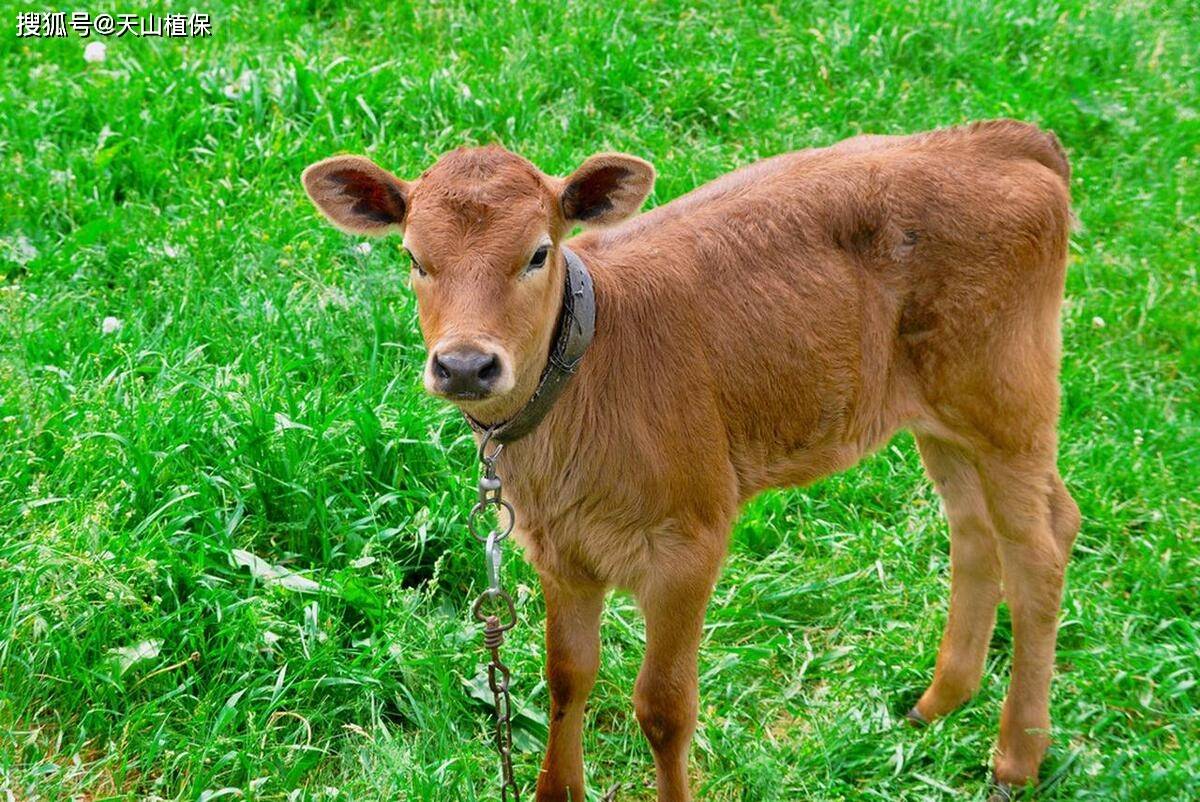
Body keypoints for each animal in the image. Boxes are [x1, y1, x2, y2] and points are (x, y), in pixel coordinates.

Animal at [304, 120, 1084, 802]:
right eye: (414, 257)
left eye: (537, 253)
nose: (466, 365)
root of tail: (1004, 139)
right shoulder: (559, 551)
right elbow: (566, 677)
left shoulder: (690, 542)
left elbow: (663, 707)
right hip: (943, 416)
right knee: (976, 530)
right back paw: (939, 701)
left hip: (1008, 397)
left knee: (1043, 544)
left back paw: (1017, 756)